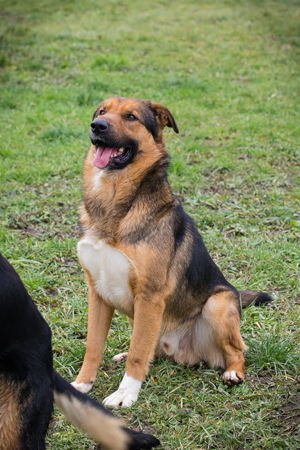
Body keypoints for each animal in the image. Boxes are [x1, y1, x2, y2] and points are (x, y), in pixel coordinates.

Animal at [72, 97, 272, 408]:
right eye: (102, 111)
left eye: (131, 116)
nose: (97, 126)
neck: (114, 200)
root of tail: (183, 352)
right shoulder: (98, 293)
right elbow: (93, 347)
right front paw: (82, 385)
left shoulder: (149, 296)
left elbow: (138, 354)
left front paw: (125, 394)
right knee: (148, 347)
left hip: (218, 304)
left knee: (238, 349)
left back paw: (232, 373)